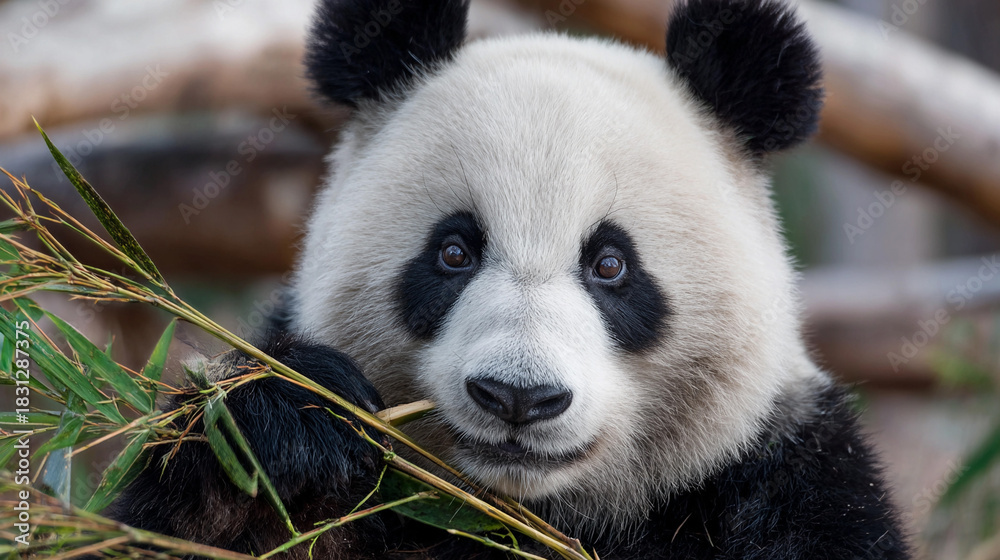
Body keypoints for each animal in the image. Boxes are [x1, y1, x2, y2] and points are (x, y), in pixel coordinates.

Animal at [111, 0, 910, 558]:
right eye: (454, 252)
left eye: (611, 265)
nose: (518, 398)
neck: (530, 510)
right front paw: (283, 428)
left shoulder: (783, 479)